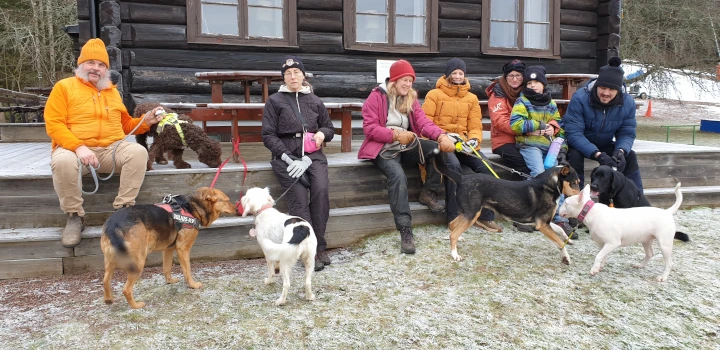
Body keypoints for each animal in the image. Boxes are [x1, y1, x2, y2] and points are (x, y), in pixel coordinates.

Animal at [100, 187, 236, 308]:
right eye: (227, 200)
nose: (237, 209)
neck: (192, 207)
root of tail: (113, 226)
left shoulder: (168, 249)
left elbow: (166, 268)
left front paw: (169, 281)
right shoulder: (183, 249)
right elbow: (187, 270)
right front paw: (192, 285)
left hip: (110, 262)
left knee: (105, 281)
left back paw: (108, 299)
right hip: (137, 263)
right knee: (126, 289)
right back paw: (135, 305)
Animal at [434, 154, 580, 264]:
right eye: (574, 183)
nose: (581, 197)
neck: (549, 185)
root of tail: (461, 177)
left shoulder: (544, 222)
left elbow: (560, 230)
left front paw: (569, 239)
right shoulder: (542, 224)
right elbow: (559, 242)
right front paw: (566, 258)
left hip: (470, 212)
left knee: (453, 225)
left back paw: (458, 239)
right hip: (472, 214)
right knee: (453, 234)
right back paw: (455, 255)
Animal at [556, 183, 688, 282]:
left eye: (566, 203)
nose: (557, 209)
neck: (591, 213)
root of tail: (667, 212)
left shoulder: (613, 243)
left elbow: (599, 255)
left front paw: (593, 270)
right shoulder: (603, 243)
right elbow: (603, 255)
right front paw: (600, 267)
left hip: (664, 243)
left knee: (669, 262)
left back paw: (663, 277)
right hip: (647, 240)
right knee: (650, 254)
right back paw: (640, 265)